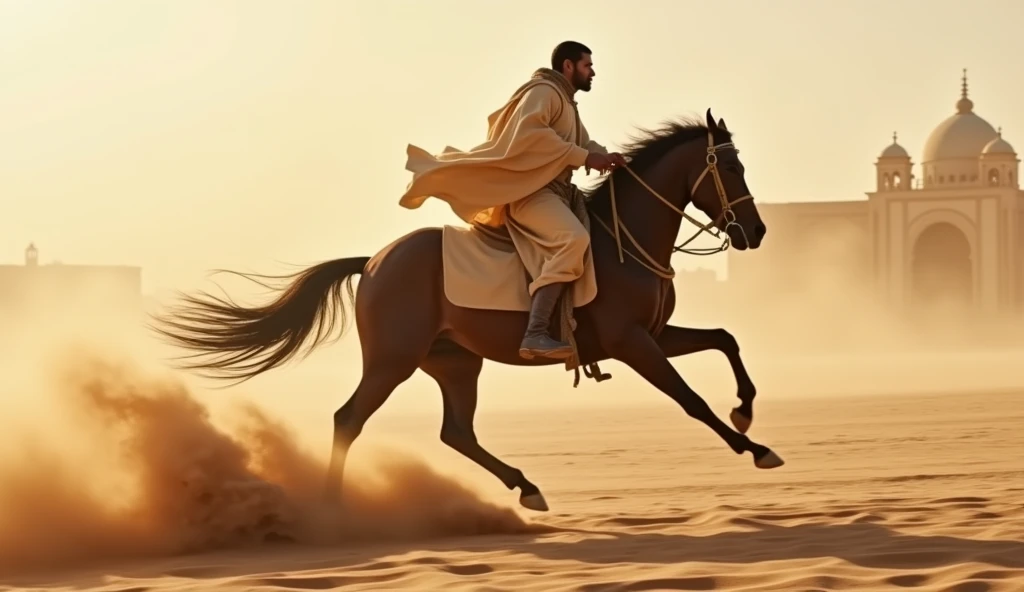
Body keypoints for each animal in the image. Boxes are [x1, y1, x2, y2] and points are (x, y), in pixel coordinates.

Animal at [148, 107, 778, 512]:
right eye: (731, 168)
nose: (755, 232)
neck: (623, 241)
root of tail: (374, 262)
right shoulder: (633, 343)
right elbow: (691, 400)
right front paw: (755, 448)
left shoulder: (654, 333)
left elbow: (725, 338)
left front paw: (748, 413)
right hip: (392, 361)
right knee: (349, 419)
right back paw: (330, 511)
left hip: (454, 363)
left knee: (457, 432)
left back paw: (526, 487)